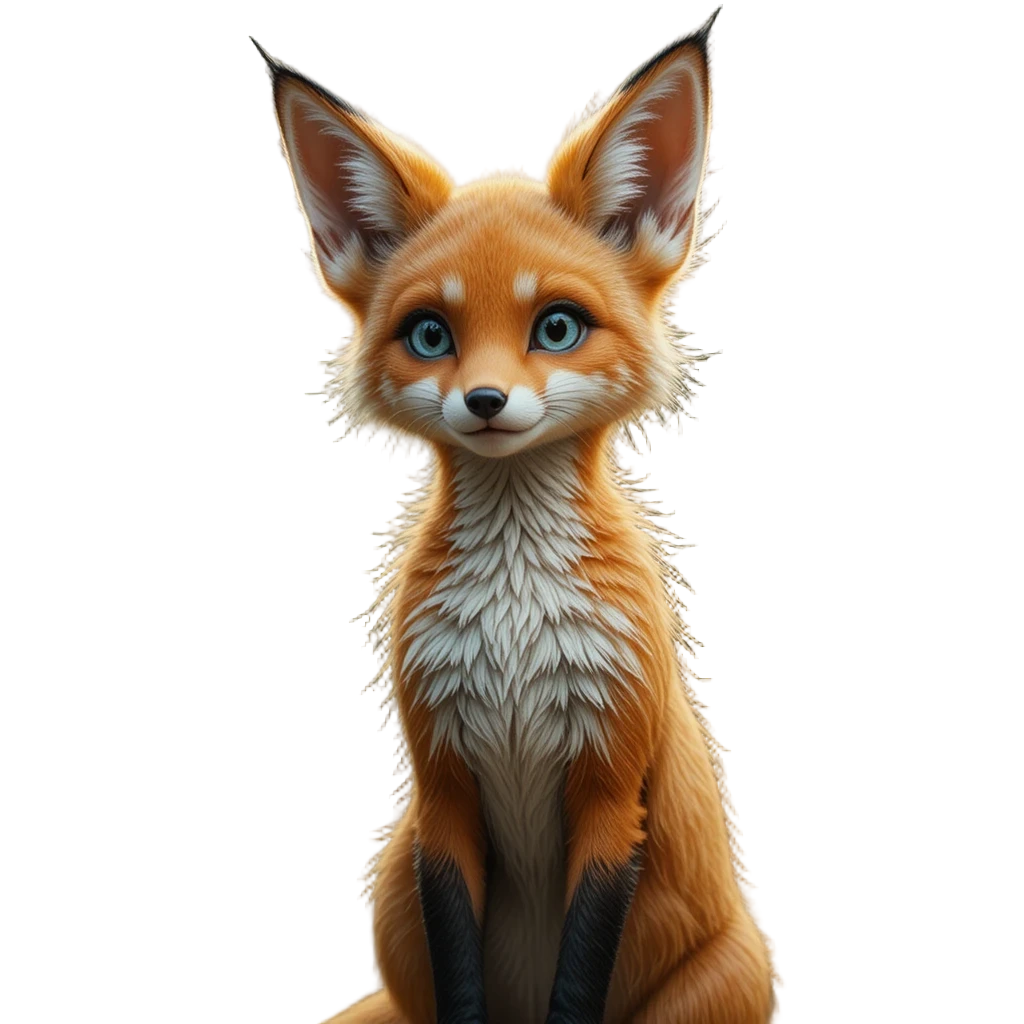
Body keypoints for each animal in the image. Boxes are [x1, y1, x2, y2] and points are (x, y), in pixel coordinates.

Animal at [254, 10, 782, 1024]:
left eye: (557, 328)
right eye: (431, 336)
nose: (487, 401)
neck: (513, 633)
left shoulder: (613, 791)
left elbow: (578, 979)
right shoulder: (442, 794)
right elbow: (461, 973)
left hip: (716, 987)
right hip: (393, 890)